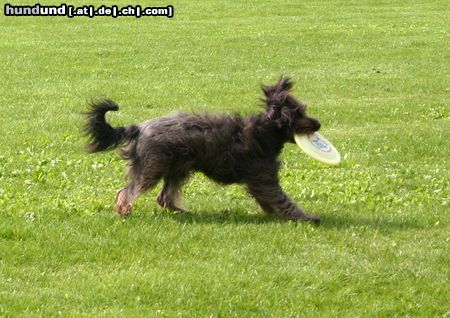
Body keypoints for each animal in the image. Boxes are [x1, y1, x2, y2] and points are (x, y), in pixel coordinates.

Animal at [84, 76, 322, 222]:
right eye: (299, 113)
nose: (318, 124)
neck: (264, 131)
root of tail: (139, 128)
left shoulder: (261, 179)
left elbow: (269, 201)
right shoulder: (264, 178)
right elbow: (282, 200)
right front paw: (306, 217)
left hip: (178, 169)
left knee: (164, 197)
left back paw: (182, 211)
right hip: (152, 167)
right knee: (127, 191)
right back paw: (124, 210)